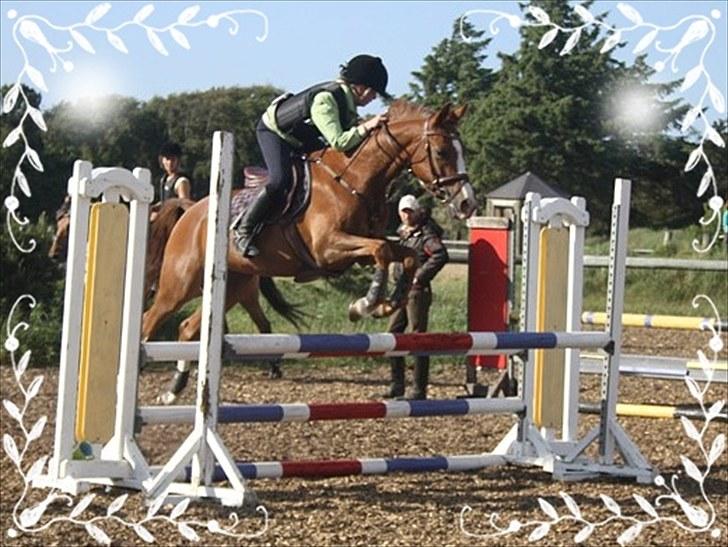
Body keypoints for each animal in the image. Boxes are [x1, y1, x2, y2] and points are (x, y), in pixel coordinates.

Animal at [143, 100, 478, 400]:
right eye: (442, 152)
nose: (467, 204)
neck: (354, 179)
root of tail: (190, 211)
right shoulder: (328, 248)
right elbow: (383, 250)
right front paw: (365, 304)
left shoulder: (360, 249)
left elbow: (404, 255)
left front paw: (388, 303)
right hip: (180, 284)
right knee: (150, 319)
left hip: (234, 286)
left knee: (188, 327)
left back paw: (174, 389)